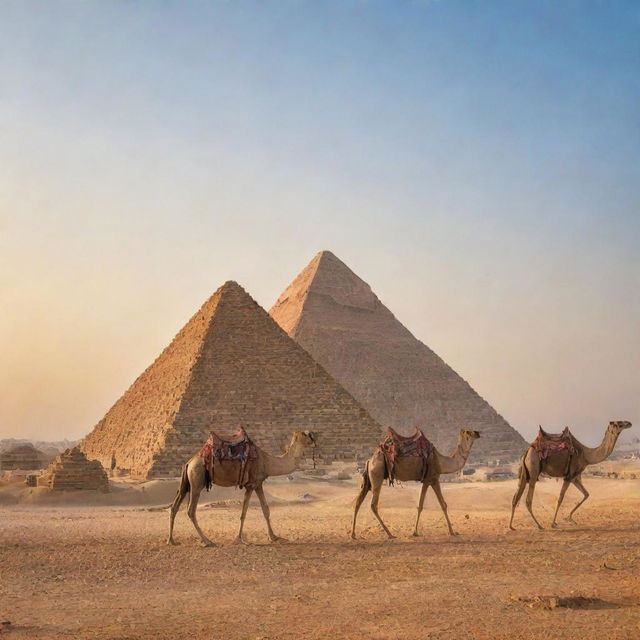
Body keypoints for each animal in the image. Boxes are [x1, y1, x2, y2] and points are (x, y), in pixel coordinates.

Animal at [166, 430, 314, 544]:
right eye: (306, 434)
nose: (315, 440)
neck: (266, 461)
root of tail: (189, 462)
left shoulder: (255, 484)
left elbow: (262, 510)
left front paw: (274, 537)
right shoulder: (253, 484)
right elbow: (248, 511)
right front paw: (240, 538)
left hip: (187, 483)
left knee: (174, 506)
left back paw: (171, 540)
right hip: (197, 481)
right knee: (191, 510)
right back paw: (207, 541)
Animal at [350, 430, 480, 540]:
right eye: (469, 432)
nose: (478, 433)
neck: (440, 462)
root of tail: (369, 461)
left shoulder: (427, 481)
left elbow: (422, 505)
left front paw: (415, 532)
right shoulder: (432, 479)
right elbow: (440, 505)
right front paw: (452, 531)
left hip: (368, 481)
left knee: (358, 502)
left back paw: (353, 534)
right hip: (377, 475)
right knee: (373, 505)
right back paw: (390, 534)